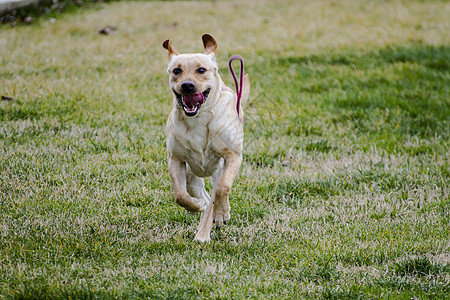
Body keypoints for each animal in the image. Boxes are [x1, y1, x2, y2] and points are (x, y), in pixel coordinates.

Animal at [163, 34, 250, 243]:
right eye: (177, 70)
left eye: (201, 70)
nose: (187, 85)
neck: (198, 118)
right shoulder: (176, 159)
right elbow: (180, 195)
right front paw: (194, 206)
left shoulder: (231, 157)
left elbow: (222, 188)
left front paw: (222, 213)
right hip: (192, 176)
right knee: (202, 196)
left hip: (218, 170)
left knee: (215, 195)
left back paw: (206, 230)